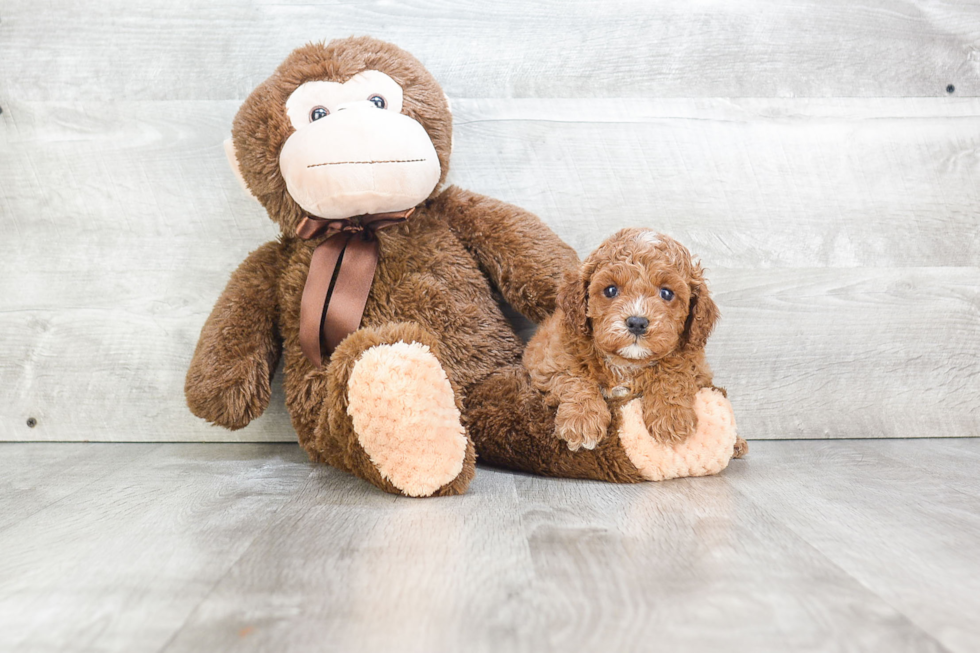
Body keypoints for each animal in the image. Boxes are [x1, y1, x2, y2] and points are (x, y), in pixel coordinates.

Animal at [524, 228, 748, 454]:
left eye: (667, 293)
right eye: (611, 290)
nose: (637, 323)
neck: (628, 363)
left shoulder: (694, 361)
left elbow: (674, 374)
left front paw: (670, 418)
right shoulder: (549, 360)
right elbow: (574, 378)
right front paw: (582, 420)